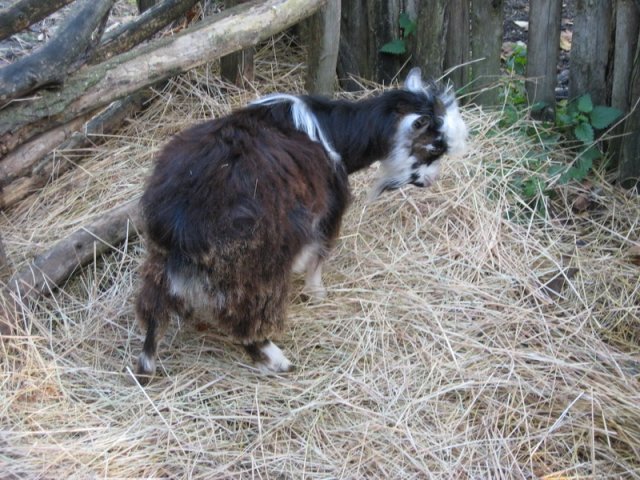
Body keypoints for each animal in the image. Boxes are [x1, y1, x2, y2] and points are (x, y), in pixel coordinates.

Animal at [134, 67, 467, 380]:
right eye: (433, 147)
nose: (430, 181)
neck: (336, 133)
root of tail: (180, 222)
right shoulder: (328, 211)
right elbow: (319, 256)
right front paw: (317, 293)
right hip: (253, 266)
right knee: (244, 318)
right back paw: (276, 360)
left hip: (161, 263)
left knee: (155, 307)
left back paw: (148, 364)